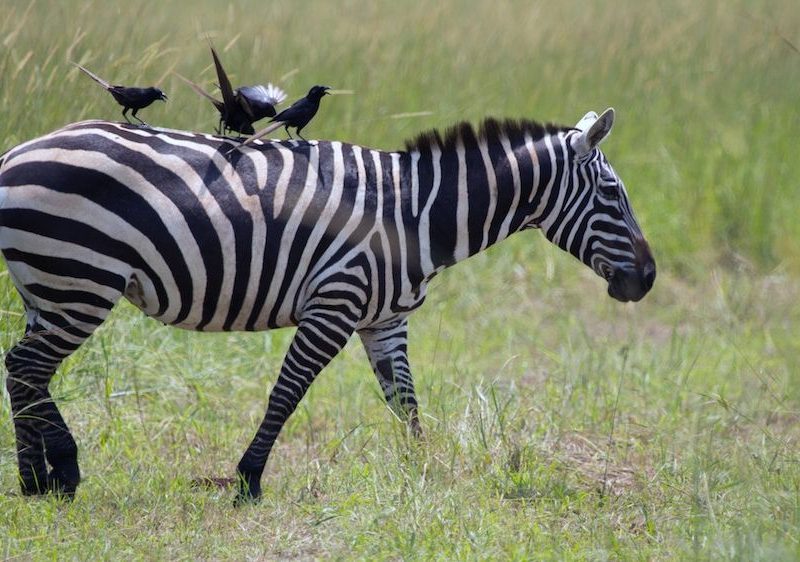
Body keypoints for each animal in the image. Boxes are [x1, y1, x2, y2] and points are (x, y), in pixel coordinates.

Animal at [0, 107, 655, 503]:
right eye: (613, 193)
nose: (647, 280)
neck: (414, 215)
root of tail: (16, 154)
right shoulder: (334, 304)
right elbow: (287, 393)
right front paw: (248, 481)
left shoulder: (384, 319)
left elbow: (405, 403)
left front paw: (424, 473)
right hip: (79, 279)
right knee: (28, 368)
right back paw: (59, 472)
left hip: (49, 286)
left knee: (22, 370)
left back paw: (36, 479)